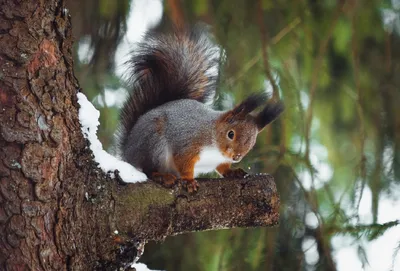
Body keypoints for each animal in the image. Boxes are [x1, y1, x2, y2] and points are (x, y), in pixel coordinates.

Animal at [117, 25, 282, 191]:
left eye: (252, 142)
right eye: (230, 134)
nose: (237, 157)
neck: (214, 140)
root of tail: (128, 151)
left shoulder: (220, 160)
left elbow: (222, 168)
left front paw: (232, 171)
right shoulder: (187, 143)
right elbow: (183, 162)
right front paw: (189, 180)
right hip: (153, 143)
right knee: (148, 169)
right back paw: (162, 176)